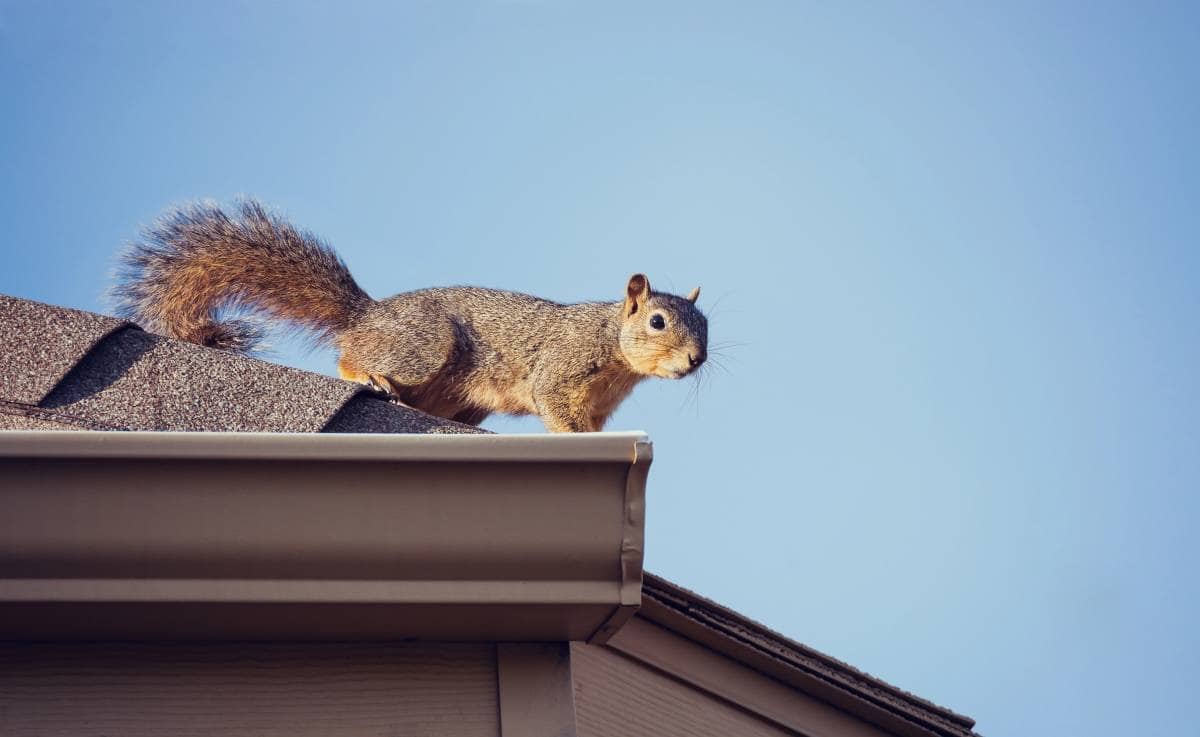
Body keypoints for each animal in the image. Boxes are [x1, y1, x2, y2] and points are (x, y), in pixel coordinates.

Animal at [112, 199, 708, 432]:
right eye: (657, 321)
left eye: (706, 327)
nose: (696, 360)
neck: (614, 347)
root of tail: (368, 315)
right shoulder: (561, 369)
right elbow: (555, 405)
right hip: (424, 346)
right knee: (350, 356)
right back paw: (369, 375)